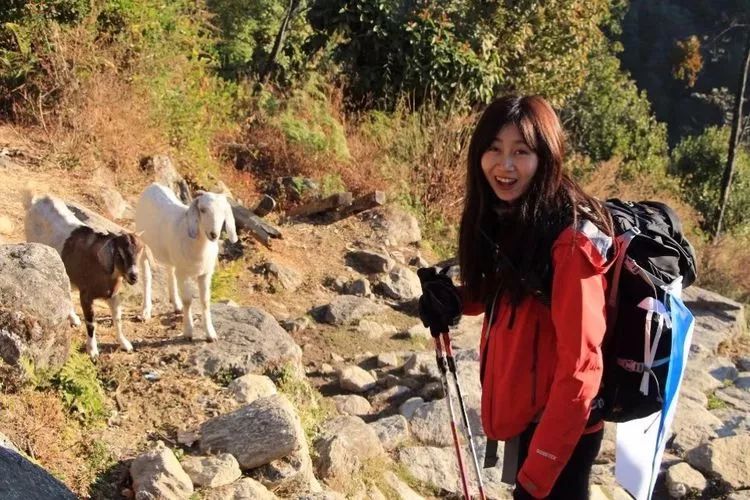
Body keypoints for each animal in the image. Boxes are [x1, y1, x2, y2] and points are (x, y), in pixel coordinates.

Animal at [23, 192, 145, 358]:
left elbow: (117, 319)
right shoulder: (86, 296)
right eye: (119, 253)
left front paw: (125, 344)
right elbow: (91, 323)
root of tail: (35, 200)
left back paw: (74, 319)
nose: (133, 276)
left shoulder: (113, 295)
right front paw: (92, 351)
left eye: (139, 252)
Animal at [135, 183, 238, 341]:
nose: (214, 234)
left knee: (170, 271)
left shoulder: (205, 274)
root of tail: (153, 185)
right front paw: (188, 332)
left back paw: (176, 304)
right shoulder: (183, 274)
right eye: (202, 209)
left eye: (223, 212)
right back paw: (146, 311)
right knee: (147, 276)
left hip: (171, 255)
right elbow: (188, 301)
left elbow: (205, 301)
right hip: (144, 244)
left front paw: (211, 334)